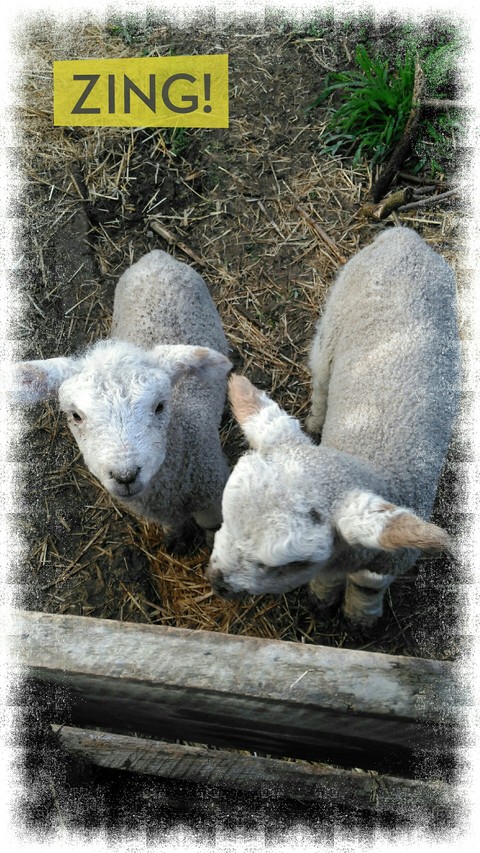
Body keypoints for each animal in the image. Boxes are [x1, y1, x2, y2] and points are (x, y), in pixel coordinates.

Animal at [13, 249, 232, 549]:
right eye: (76, 415)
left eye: (160, 406)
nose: (125, 476)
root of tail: (155, 257)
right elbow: (174, 526)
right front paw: (174, 539)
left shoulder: (212, 493)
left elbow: (214, 526)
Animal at [207, 227, 460, 626]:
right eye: (225, 517)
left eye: (290, 564)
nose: (216, 582)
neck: (369, 456)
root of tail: (405, 236)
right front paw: (323, 598)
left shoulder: (389, 558)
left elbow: (368, 584)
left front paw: (360, 615)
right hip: (331, 325)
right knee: (322, 382)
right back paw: (315, 419)